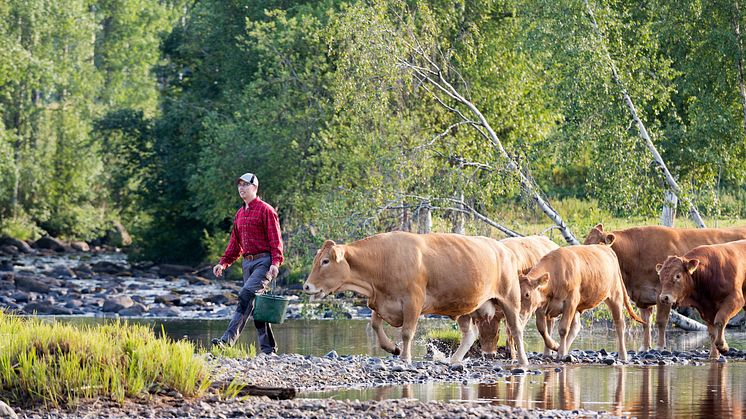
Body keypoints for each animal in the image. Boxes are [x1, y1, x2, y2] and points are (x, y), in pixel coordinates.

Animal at [298, 231, 528, 366]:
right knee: (470, 333)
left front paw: (404, 356)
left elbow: (407, 332)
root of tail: (503, 248)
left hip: (510, 298)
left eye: (325, 261)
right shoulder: (380, 300)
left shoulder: (413, 301)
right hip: (464, 307)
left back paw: (523, 361)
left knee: (516, 329)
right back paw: (454, 359)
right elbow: (375, 325)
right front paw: (392, 347)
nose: (306, 286)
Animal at [580, 223, 744, 352]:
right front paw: (645, 347)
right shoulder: (643, 297)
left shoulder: (662, 294)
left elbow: (660, 321)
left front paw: (659, 346)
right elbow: (645, 323)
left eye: (597, 244)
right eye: (585, 242)